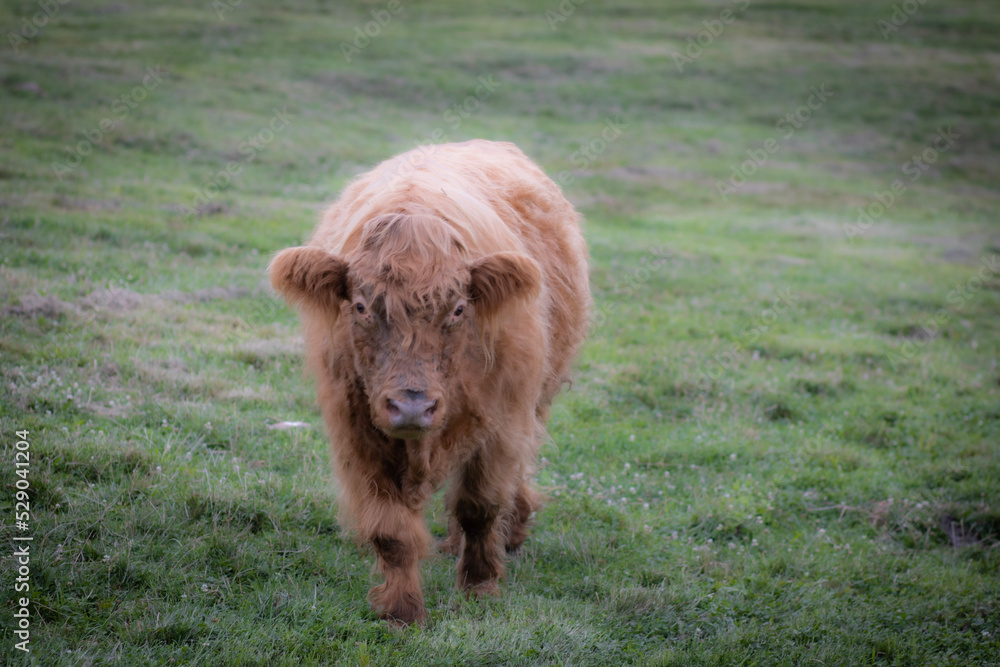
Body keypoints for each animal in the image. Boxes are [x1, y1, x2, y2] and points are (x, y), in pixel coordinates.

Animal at [268, 139, 590, 624]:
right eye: (361, 306)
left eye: (458, 309)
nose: (413, 406)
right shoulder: (356, 432)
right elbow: (391, 530)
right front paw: (402, 610)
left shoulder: (502, 422)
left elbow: (480, 505)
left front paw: (479, 586)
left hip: (534, 403)